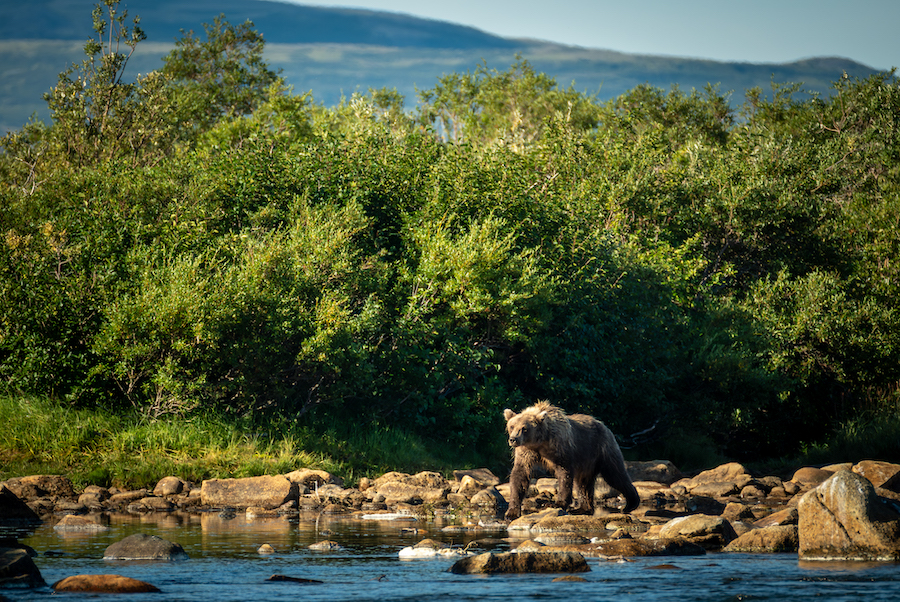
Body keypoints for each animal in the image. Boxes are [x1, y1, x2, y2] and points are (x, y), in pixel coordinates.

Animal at [503, 401, 640, 520]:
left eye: (524, 428)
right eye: (512, 426)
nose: (513, 439)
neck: (540, 442)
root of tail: (603, 425)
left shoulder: (559, 447)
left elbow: (564, 473)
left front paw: (557, 503)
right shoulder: (525, 452)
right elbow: (520, 475)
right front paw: (512, 512)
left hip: (602, 448)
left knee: (615, 474)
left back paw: (631, 503)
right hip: (587, 460)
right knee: (584, 483)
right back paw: (583, 508)